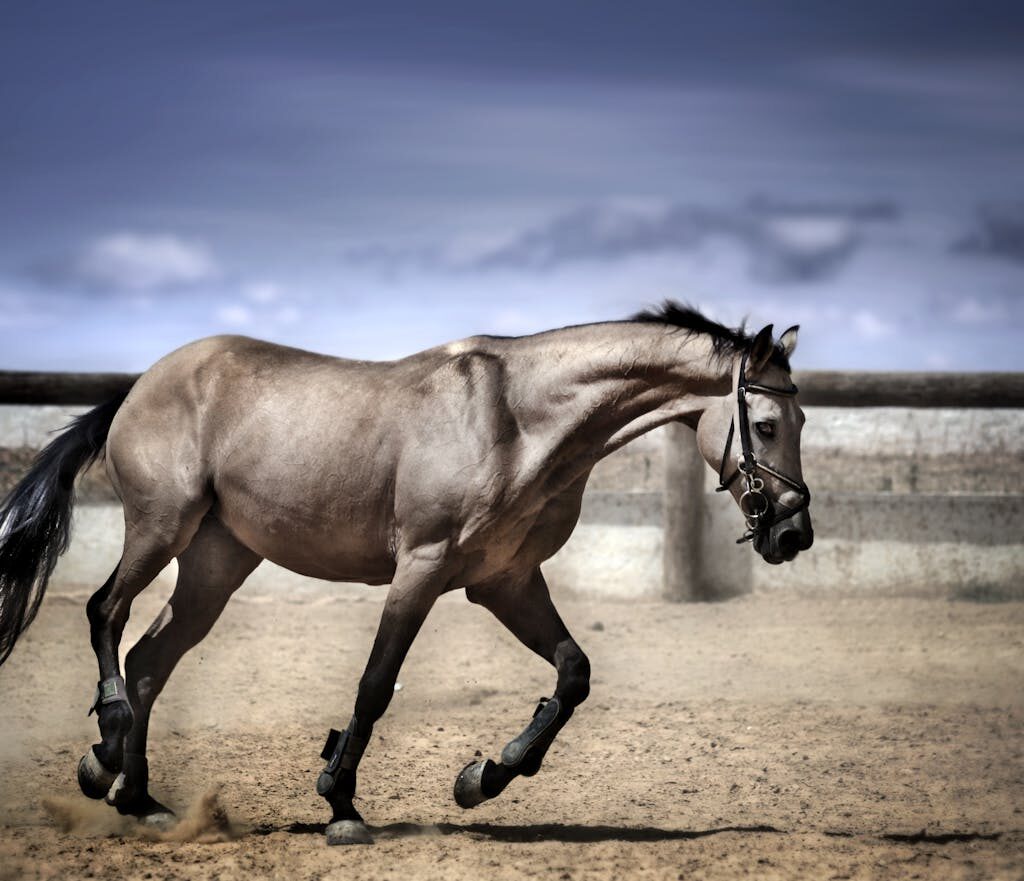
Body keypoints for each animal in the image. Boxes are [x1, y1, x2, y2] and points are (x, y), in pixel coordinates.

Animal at [0, 302, 812, 846]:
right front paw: (341, 803)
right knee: (105, 613)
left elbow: (573, 672)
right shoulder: (420, 569)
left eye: (802, 423)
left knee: (149, 659)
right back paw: (108, 745)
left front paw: (483, 777)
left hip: (216, 562)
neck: (519, 421)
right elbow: (375, 684)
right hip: (161, 527)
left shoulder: (506, 581)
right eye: (766, 425)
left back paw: (136, 796)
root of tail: (140, 383)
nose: (793, 533)